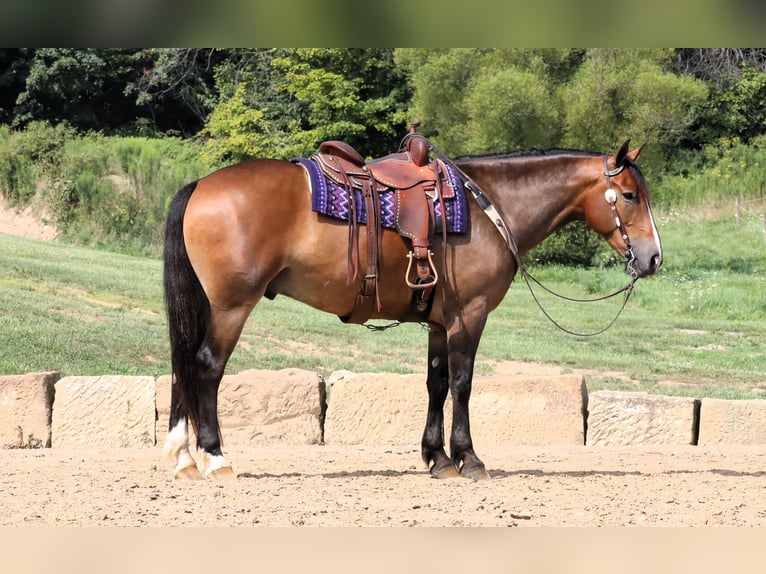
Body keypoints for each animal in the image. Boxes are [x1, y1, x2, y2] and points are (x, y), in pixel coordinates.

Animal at [164, 138, 664, 482]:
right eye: (630, 195)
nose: (653, 258)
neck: (489, 208)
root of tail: (200, 184)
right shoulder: (469, 315)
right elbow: (462, 385)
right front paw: (469, 458)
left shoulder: (439, 323)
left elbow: (436, 384)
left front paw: (437, 458)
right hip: (231, 306)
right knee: (206, 368)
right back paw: (215, 458)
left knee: (182, 366)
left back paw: (183, 457)